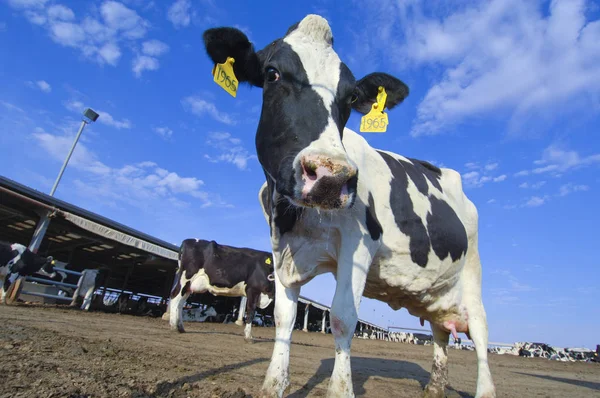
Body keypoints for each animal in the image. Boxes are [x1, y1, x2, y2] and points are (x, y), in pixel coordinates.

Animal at [204, 14, 494, 398]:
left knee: (480, 334)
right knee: (440, 332)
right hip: (436, 293)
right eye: (272, 74)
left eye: (352, 95)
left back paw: (485, 389)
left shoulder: (359, 243)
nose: (329, 176)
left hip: (473, 272)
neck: (293, 218)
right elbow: (284, 316)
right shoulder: (280, 249)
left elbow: (342, 316)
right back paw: (435, 387)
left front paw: (340, 389)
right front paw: (273, 384)